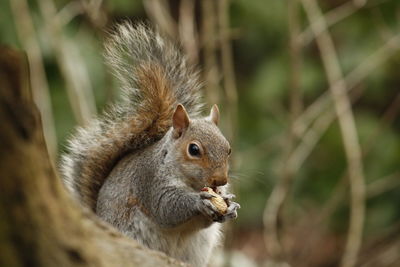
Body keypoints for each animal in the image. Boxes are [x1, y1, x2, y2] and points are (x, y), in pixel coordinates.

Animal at [61, 23, 239, 267]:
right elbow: (166, 208)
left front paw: (230, 205)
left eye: (228, 149)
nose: (220, 180)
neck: (191, 182)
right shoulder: (150, 182)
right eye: (194, 150)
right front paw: (199, 201)